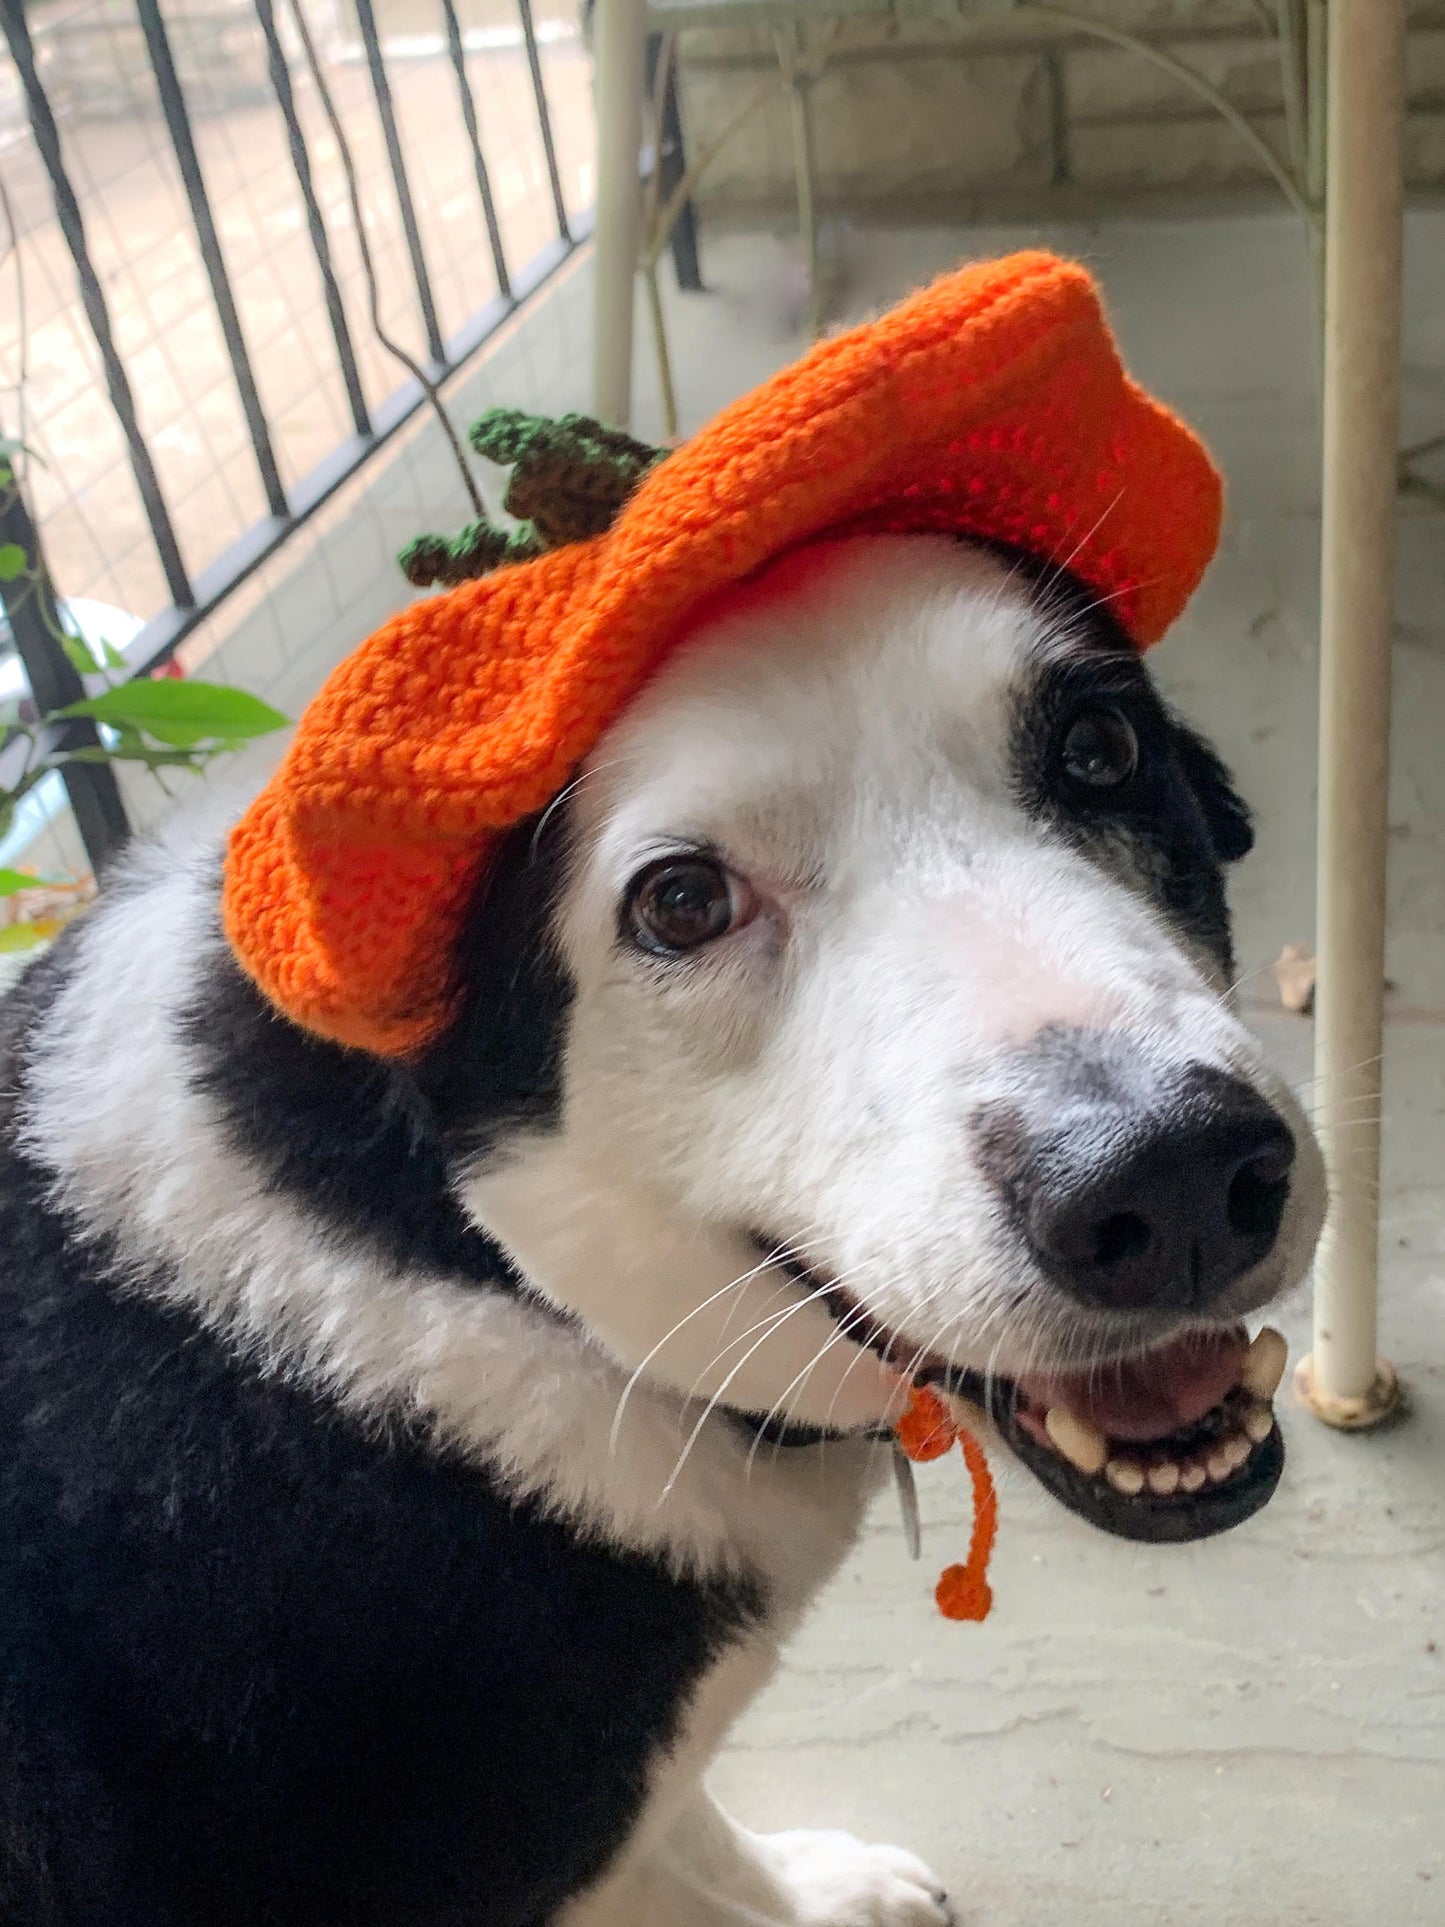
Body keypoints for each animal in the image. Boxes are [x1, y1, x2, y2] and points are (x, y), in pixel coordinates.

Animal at [0, 539, 1333, 1927]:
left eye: (1097, 748)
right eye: (682, 902)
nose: (1170, 1178)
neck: (474, 1265)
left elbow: (687, 1825)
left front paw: (814, 1891)